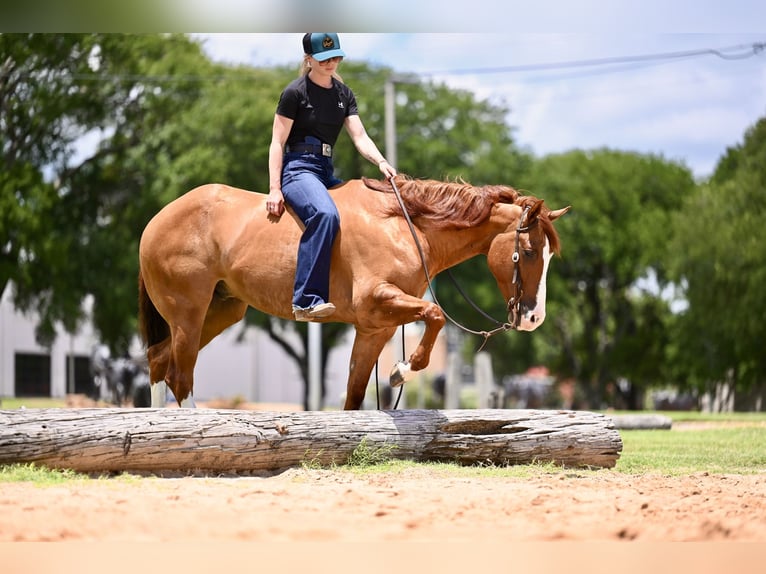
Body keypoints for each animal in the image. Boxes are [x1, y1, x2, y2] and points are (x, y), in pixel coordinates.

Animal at [137, 174, 570, 410]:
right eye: (530, 252)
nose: (534, 318)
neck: (404, 225)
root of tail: (155, 221)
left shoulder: (375, 328)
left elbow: (354, 394)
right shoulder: (379, 300)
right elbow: (435, 316)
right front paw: (401, 370)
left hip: (221, 311)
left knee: (158, 360)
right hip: (189, 315)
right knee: (179, 375)